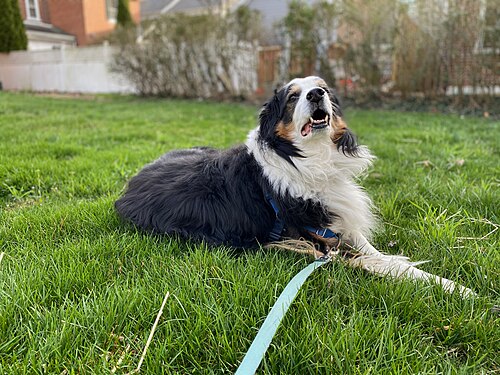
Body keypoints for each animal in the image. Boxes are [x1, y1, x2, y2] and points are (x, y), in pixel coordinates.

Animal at [115, 76, 474, 298]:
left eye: (322, 88)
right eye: (292, 97)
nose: (317, 95)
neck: (310, 158)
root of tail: (129, 186)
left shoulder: (336, 222)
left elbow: (371, 249)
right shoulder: (316, 242)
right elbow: (382, 264)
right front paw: (456, 288)